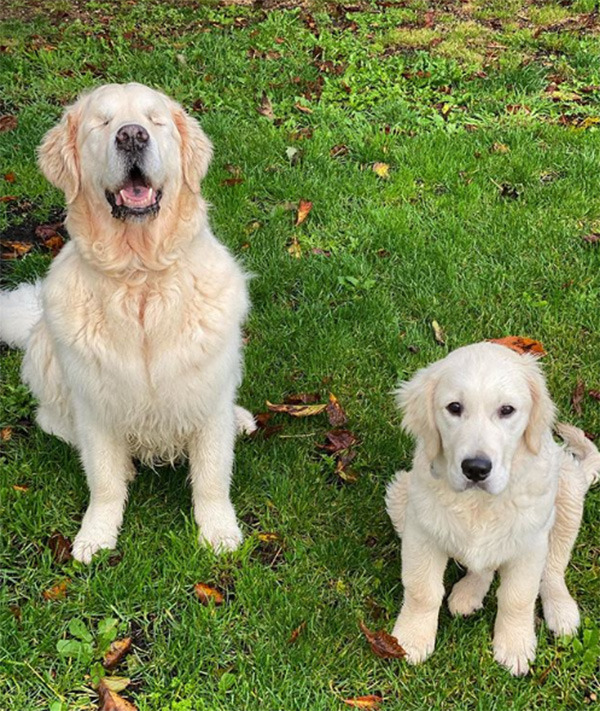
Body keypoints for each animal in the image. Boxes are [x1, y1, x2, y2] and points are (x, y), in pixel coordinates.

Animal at [0, 82, 255, 560]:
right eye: (102, 122)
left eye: (155, 120)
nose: (132, 136)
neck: (140, 279)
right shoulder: (96, 405)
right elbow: (103, 481)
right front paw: (96, 536)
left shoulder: (206, 395)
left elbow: (212, 475)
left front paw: (218, 532)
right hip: (46, 352)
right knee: (52, 420)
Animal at [386, 342, 596, 676]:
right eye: (454, 407)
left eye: (507, 410)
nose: (476, 468)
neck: (479, 503)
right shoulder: (421, 532)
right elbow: (422, 590)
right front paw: (411, 638)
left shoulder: (530, 544)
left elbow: (518, 597)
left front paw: (515, 645)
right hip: (399, 493)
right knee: (483, 565)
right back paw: (468, 593)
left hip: (568, 494)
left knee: (553, 568)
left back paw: (561, 610)